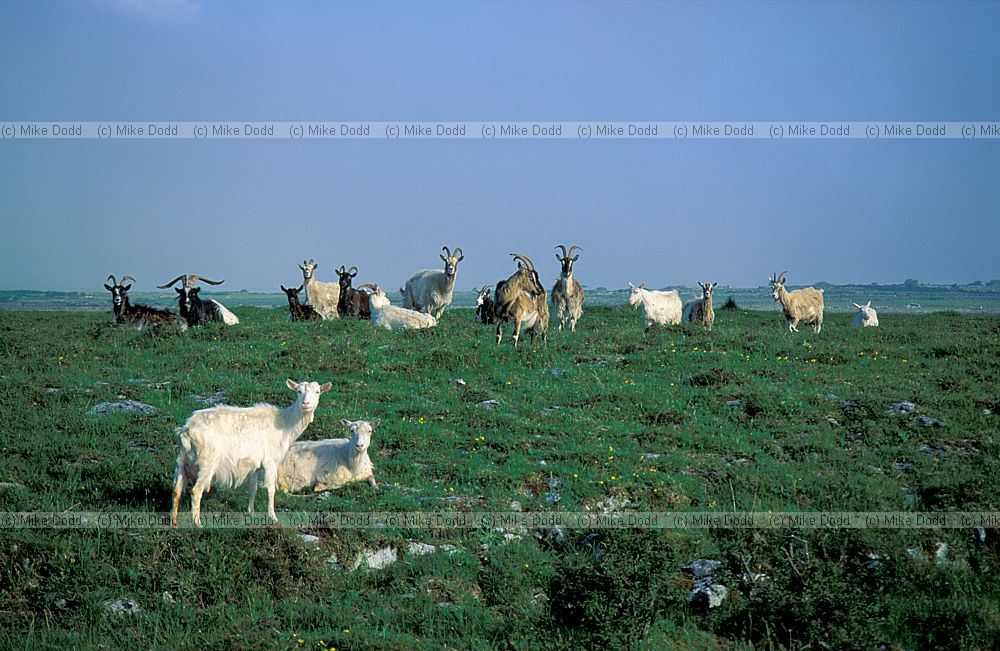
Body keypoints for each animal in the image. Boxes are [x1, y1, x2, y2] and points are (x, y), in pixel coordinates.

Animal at [170, 379, 332, 526]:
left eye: (318, 392)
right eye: (298, 391)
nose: (306, 404)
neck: (285, 424)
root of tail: (186, 431)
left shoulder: (255, 465)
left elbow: (252, 489)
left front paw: (251, 513)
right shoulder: (270, 461)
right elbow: (271, 489)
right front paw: (273, 517)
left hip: (181, 460)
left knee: (176, 490)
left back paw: (174, 522)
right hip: (208, 461)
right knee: (196, 491)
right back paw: (197, 523)